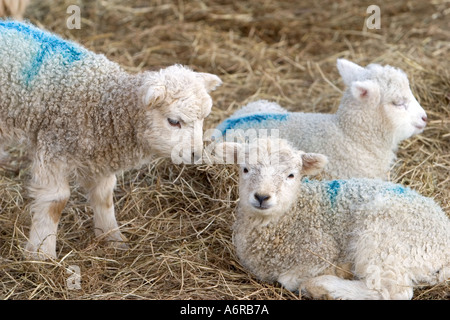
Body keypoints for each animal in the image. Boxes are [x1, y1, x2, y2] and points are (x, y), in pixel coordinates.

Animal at [0, 20, 221, 260]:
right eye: (173, 121)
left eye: (203, 118)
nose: (196, 154)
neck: (102, 102)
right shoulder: (54, 148)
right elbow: (56, 201)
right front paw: (42, 254)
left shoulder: (99, 157)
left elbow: (104, 197)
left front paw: (113, 239)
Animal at [222, 138, 450, 300]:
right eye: (245, 169)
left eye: (291, 175)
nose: (262, 197)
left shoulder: (320, 251)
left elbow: (288, 279)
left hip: (385, 237)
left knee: (391, 291)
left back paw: (324, 287)